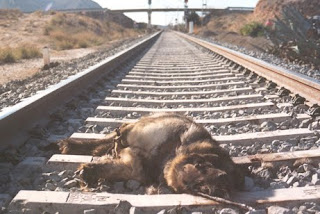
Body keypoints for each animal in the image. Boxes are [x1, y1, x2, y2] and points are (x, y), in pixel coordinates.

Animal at [58, 113, 244, 198]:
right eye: (213, 162)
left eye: (226, 188)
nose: (222, 176)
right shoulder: (137, 132)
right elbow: (120, 138)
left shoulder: (135, 168)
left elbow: (113, 167)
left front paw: (89, 171)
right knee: (107, 140)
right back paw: (72, 145)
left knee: (103, 147)